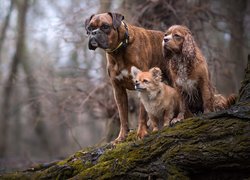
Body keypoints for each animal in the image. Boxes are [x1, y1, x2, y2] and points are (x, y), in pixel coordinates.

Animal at [84, 11, 170, 143]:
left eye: (105, 26)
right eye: (89, 28)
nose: (93, 33)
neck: (118, 51)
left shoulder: (142, 86)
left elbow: (141, 113)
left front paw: (141, 132)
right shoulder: (118, 91)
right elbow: (123, 116)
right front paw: (121, 137)